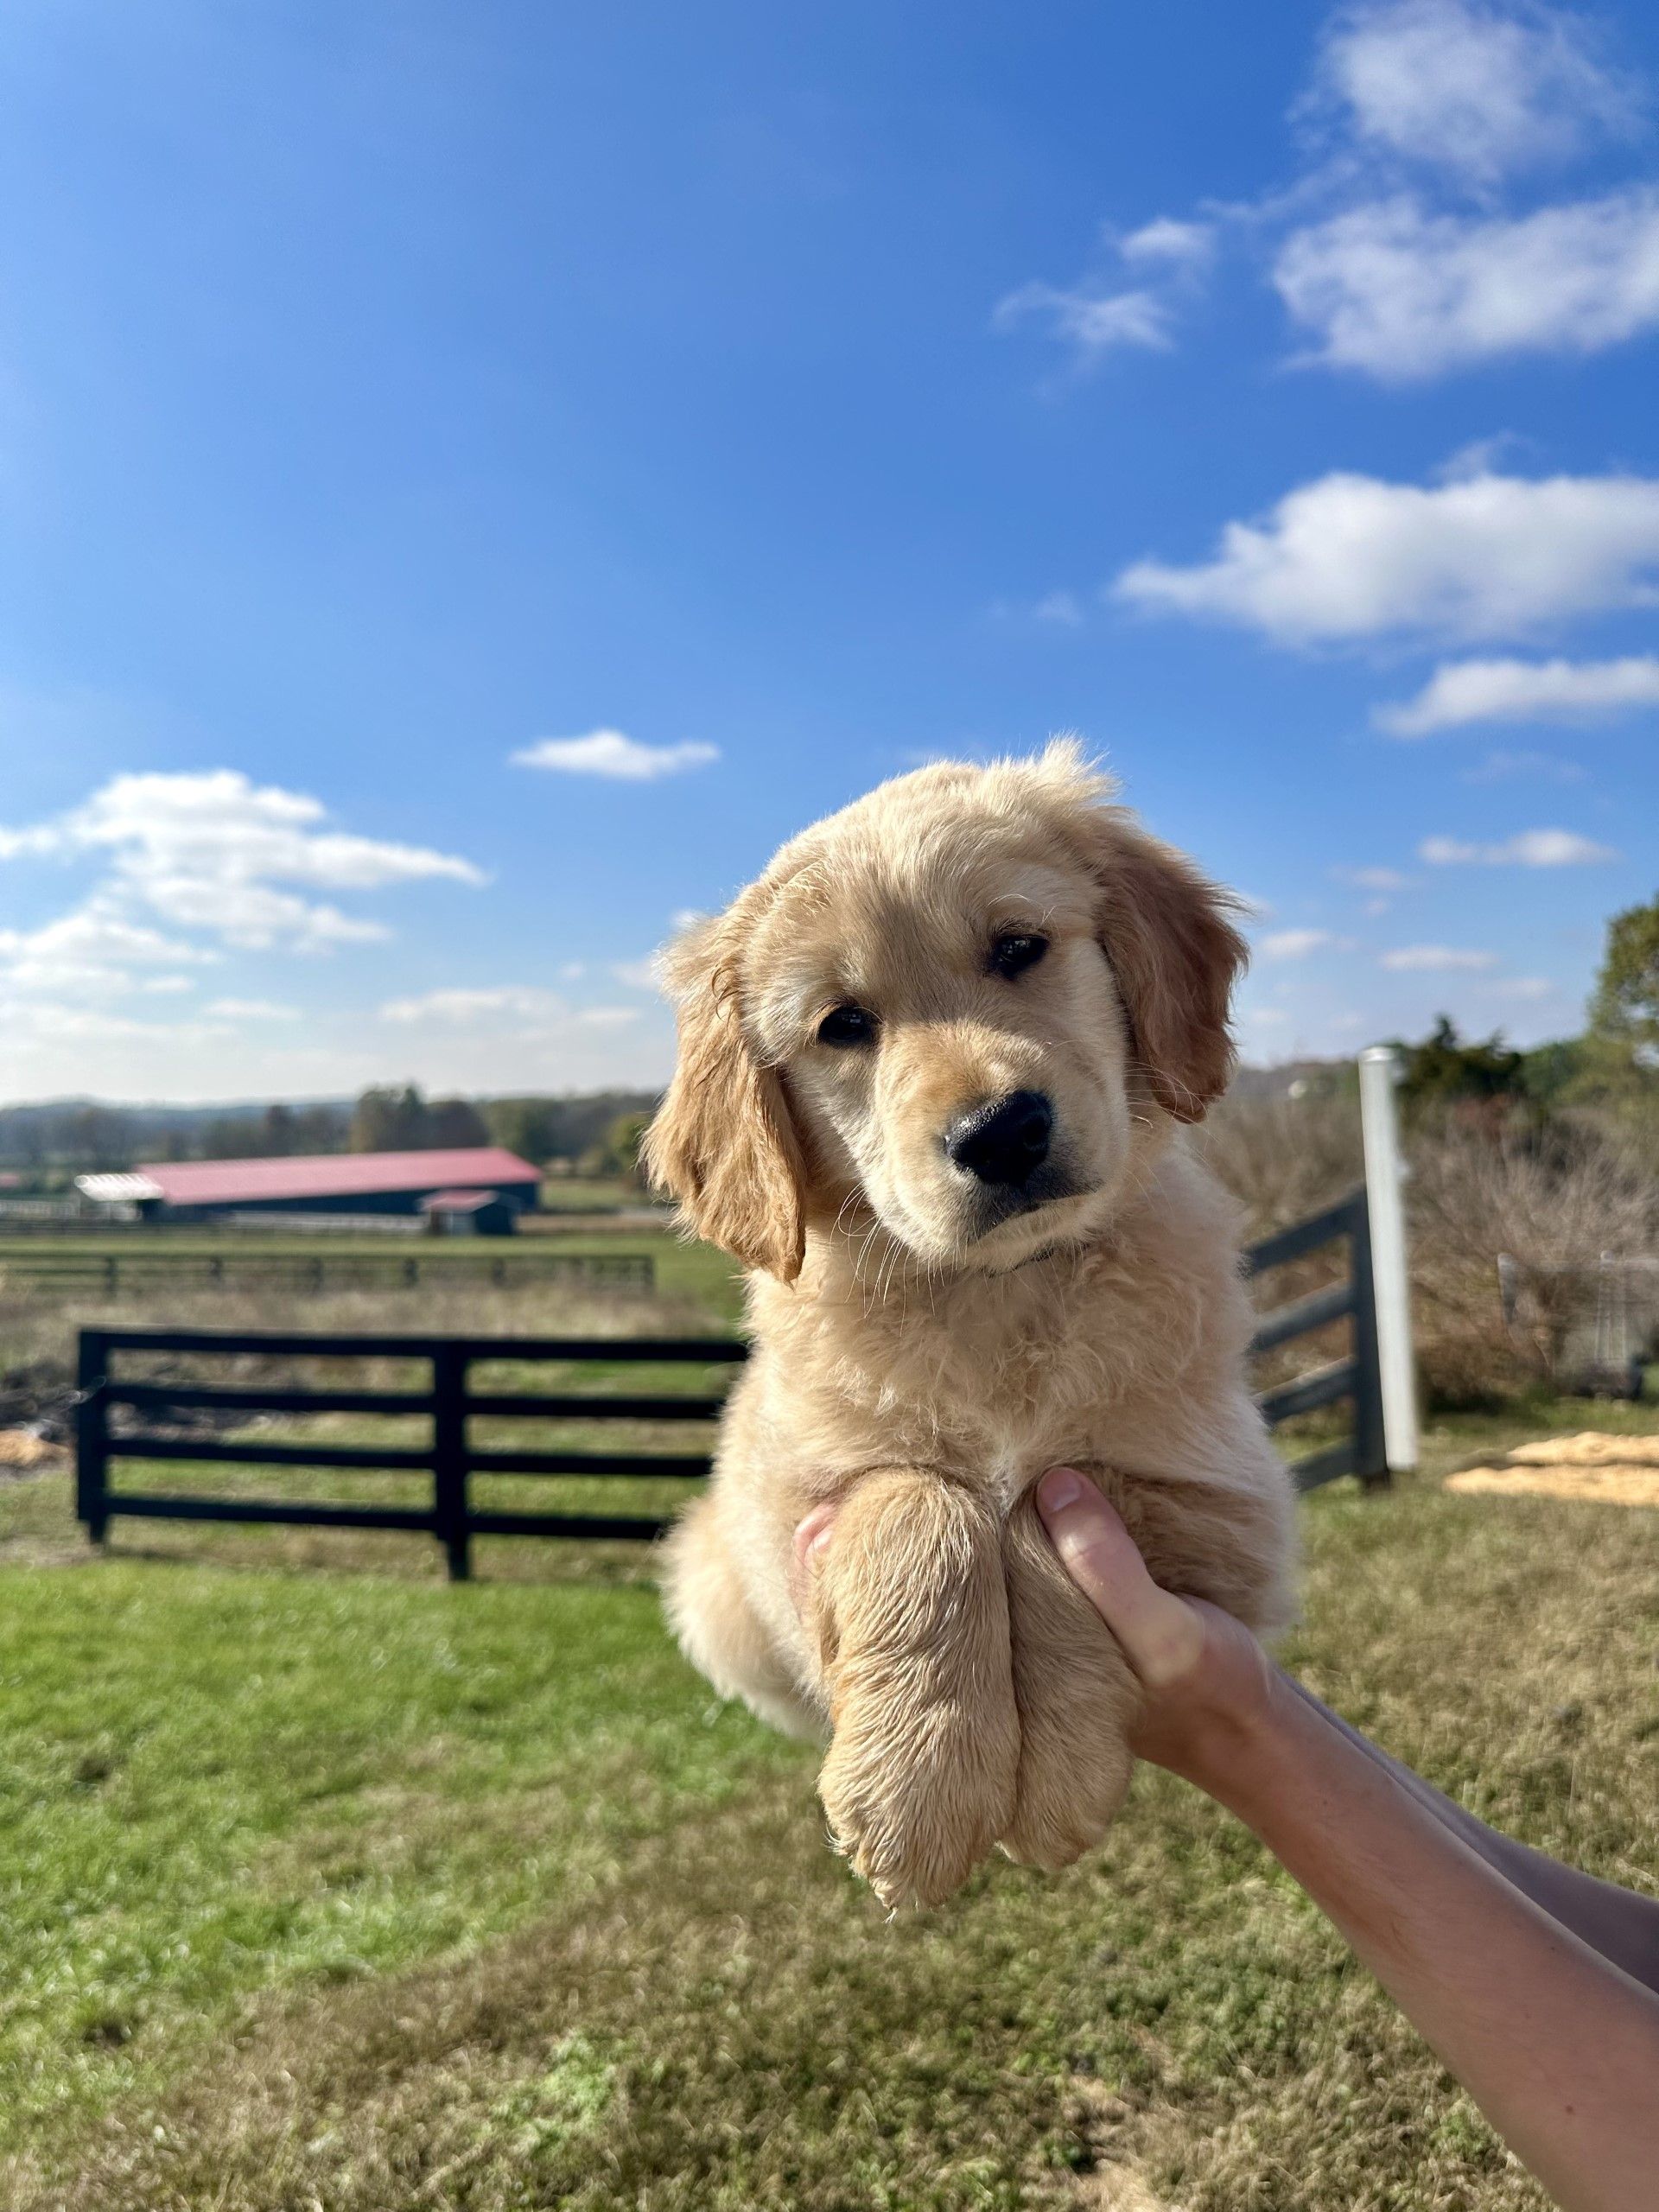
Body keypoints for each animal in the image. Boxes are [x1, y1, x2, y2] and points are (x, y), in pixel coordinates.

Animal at [641, 739, 1309, 1902]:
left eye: (1018, 948)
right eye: (843, 1024)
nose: (1000, 1133)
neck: (997, 1291)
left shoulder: (1227, 1504)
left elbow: (1045, 1506)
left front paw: (1056, 1774)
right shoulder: (792, 1512)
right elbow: (924, 1504)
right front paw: (916, 1782)